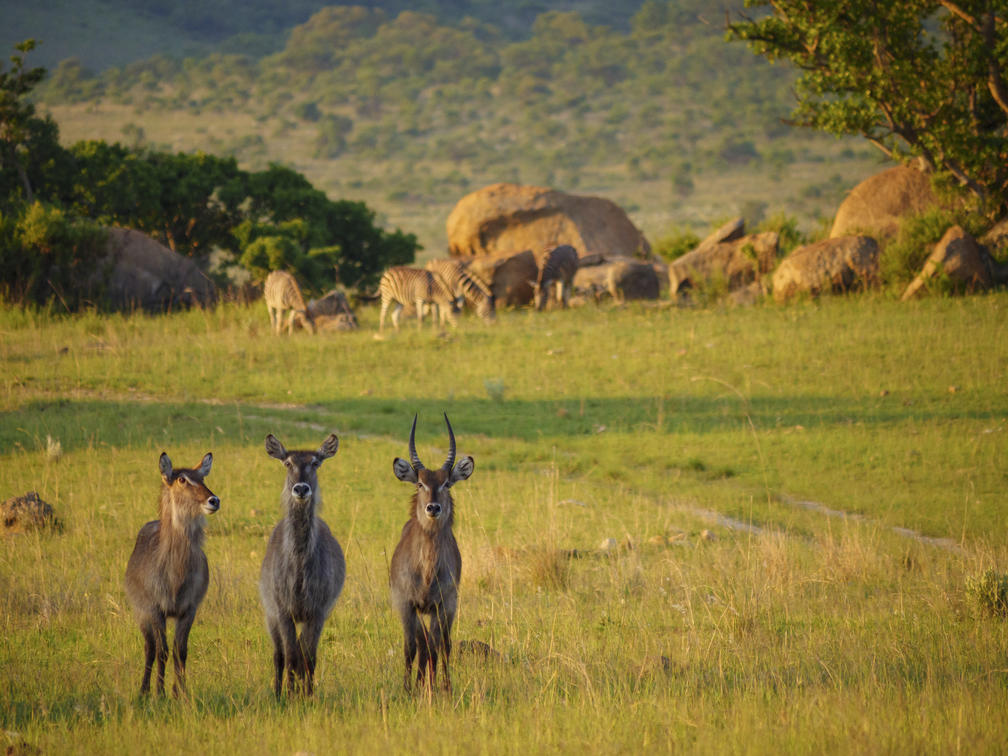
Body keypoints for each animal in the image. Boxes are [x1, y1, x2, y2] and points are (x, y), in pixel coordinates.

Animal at [124, 453, 219, 697]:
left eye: (202, 477)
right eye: (182, 480)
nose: (214, 500)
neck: (176, 577)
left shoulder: (188, 609)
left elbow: (180, 651)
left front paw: (181, 693)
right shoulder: (155, 608)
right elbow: (162, 651)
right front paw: (160, 692)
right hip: (141, 611)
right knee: (149, 648)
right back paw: (143, 690)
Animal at [258, 431, 344, 697]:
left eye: (315, 462)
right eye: (287, 463)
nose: (301, 488)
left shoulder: (317, 611)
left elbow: (308, 656)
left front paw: (307, 694)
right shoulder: (282, 609)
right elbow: (290, 655)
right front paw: (289, 693)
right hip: (270, 613)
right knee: (279, 654)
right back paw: (278, 692)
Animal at [389, 417, 475, 697]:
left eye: (446, 483)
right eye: (420, 483)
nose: (433, 507)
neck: (426, 571)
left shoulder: (443, 605)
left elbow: (441, 647)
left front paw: (439, 687)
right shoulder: (406, 604)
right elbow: (410, 647)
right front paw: (407, 689)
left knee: (439, 645)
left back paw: (437, 684)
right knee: (422, 643)